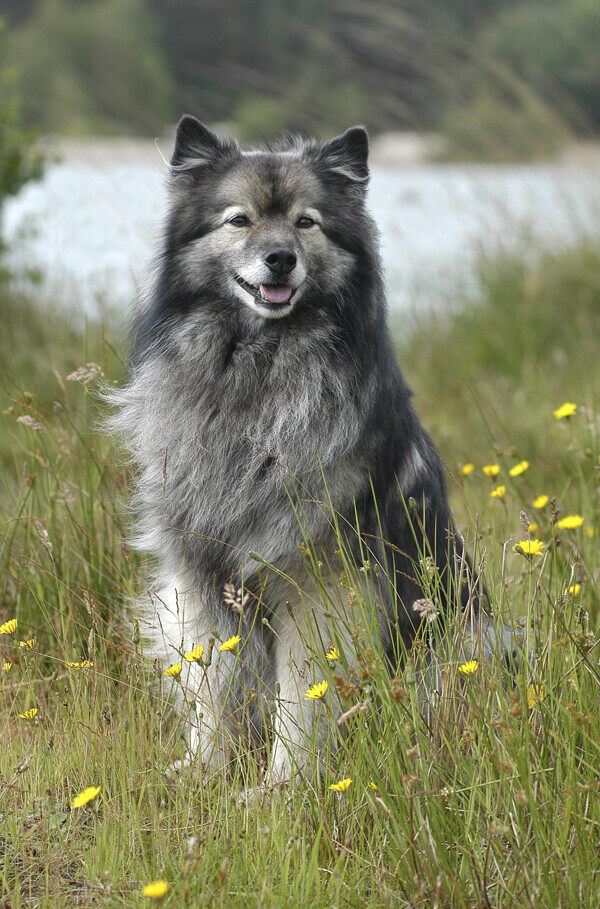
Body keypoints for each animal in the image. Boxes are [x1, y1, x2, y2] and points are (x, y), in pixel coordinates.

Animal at [109, 117, 516, 784]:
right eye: (240, 220)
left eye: (307, 223)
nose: (280, 258)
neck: (257, 372)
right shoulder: (202, 582)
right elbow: (214, 688)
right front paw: (205, 775)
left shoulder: (318, 586)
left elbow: (301, 699)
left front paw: (282, 786)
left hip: (464, 642)